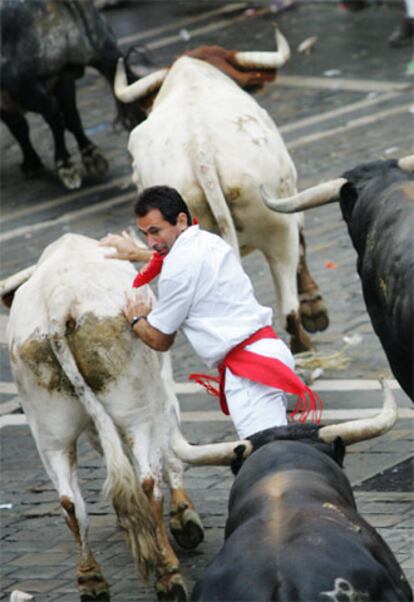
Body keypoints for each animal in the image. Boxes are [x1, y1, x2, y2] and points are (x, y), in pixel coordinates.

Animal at [114, 29, 330, 352]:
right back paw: (303, 342)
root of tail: (201, 149)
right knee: (288, 302)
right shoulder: (289, 196)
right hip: (278, 227)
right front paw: (314, 306)